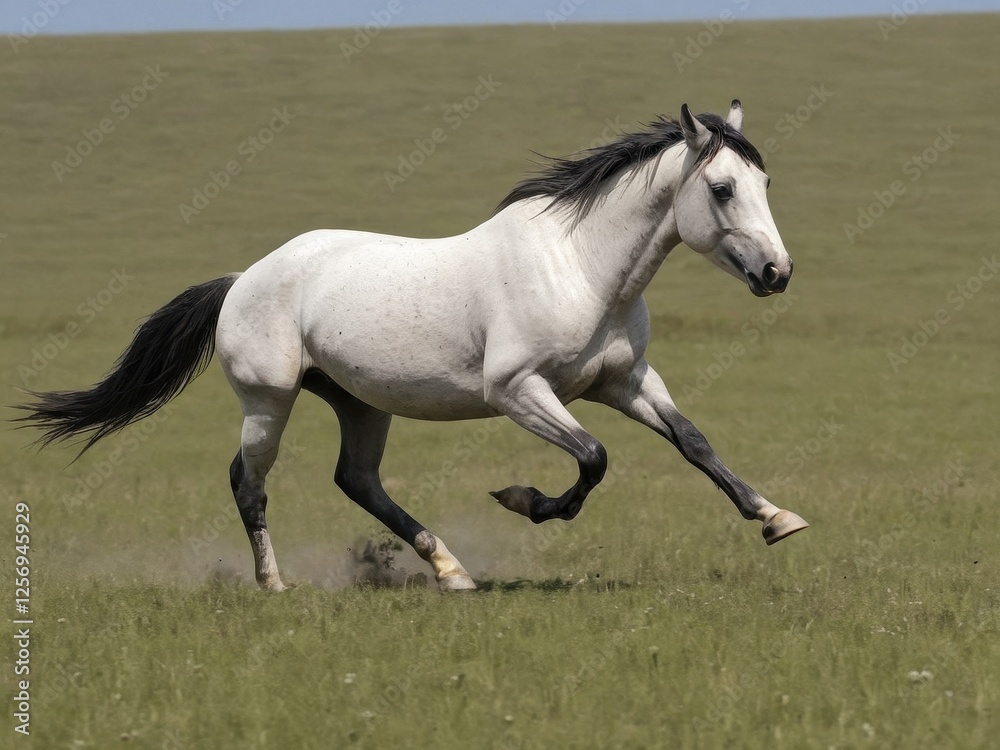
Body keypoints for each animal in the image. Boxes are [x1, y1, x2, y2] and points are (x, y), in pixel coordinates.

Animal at [19, 101, 808, 591]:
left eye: (766, 181)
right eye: (722, 188)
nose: (778, 273)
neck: (580, 267)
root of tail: (243, 278)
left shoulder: (626, 381)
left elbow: (694, 443)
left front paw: (777, 519)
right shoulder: (519, 392)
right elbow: (593, 459)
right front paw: (523, 501)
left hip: (360, 403)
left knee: (358, 482)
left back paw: (451, 570)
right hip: (269, 402)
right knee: (250, 482)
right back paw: (276, 583)